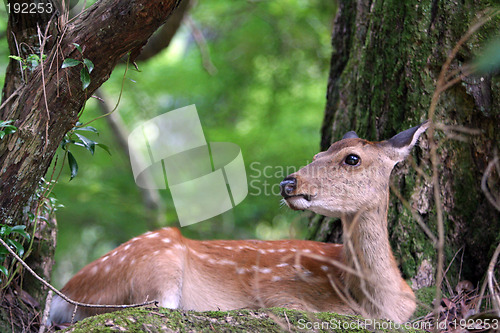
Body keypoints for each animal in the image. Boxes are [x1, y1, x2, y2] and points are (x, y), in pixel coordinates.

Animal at [48, 120, 428, 322]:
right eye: (318, 153)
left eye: (352, 158)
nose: (288, 183)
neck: (379, 302)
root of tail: (63, 294)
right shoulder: (281, 296)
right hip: (153, 266)